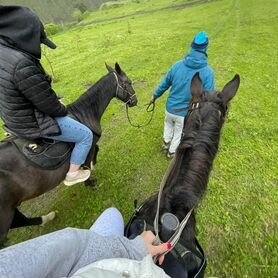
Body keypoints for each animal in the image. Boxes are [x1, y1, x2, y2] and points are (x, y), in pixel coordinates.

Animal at [0, 62, 138, 245]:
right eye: (128, 82)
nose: (135, 101)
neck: (84, 114)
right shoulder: (88, 142)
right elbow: (90, 156)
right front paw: (88, 178)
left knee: (21, 220)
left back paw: (48, 217)